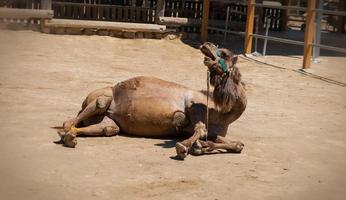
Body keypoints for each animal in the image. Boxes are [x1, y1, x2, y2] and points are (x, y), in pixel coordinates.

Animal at [57, 42, 246, 159]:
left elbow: (238, 145)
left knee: (108, 128)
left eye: (225, 53)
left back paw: (70, 137)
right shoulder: (194, 106)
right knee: (90, 109)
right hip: (102, 96)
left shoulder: (214, 131)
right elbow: (200, 128)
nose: (207, 44)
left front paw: (202, 146)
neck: (222, 113)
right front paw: (184, 147)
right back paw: (66, 135)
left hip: (107, 120)